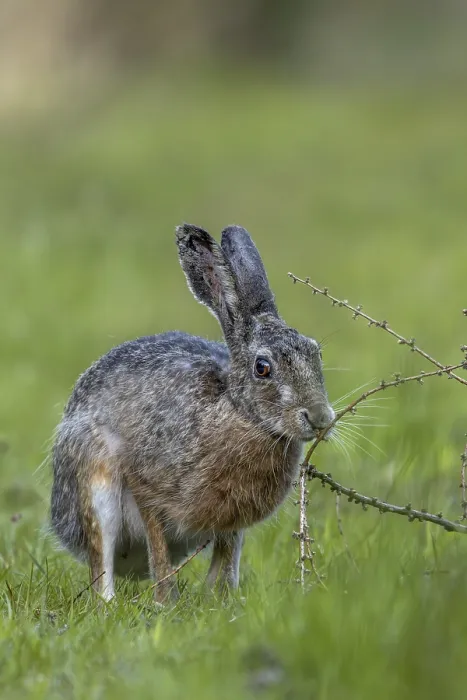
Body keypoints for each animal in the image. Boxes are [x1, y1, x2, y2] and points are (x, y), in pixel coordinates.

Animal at [50, 223, 335, 603]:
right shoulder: (146, 487)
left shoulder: (231, 522)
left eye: (315, 353)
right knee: (101, 562)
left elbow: (225, 559)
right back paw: (110, 603)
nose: (320, 418)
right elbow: (158, 549)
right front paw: (165, 603)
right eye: (262, 368)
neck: (237, 412)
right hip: (92, 476)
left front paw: (222, 600)